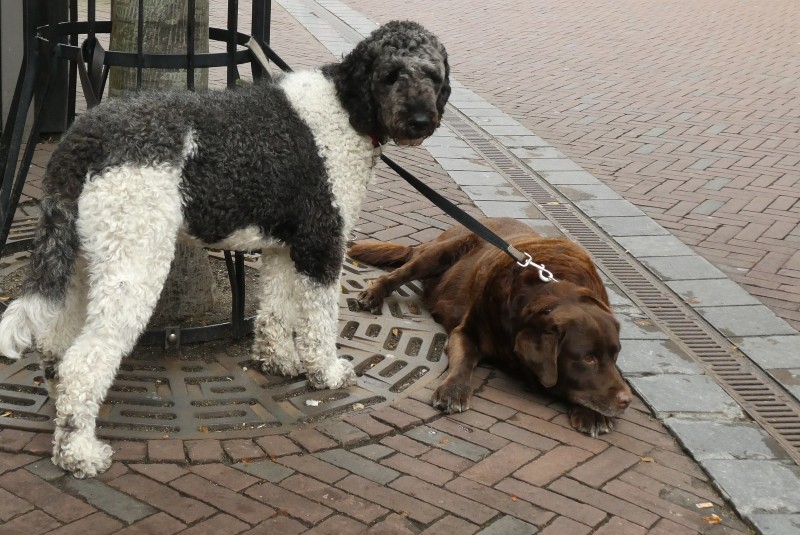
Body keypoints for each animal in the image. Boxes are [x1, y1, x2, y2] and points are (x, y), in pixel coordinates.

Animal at [0, 21, 450, 480]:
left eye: (433, 75)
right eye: (391, 75)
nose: (420, 120)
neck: (345, 108)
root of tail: (83, 138)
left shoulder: (283, 248)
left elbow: (275, 311)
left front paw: (278, 360)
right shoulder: (321, 244)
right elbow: (319, 323)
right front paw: (326, 372)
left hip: (83, 262)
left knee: (54, 346)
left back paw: (62, 416)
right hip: (134, 265)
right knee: (83, 361)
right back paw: (79, 452)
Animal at [348, 217, 632, 436]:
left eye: (615, 355)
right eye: (587, 358)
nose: (627, 400)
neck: (547, 292)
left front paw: (592, 415)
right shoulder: (466, 332)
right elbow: (464, 361)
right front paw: (454, 390)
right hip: (438, 254)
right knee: (396, 275)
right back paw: (373, 294)